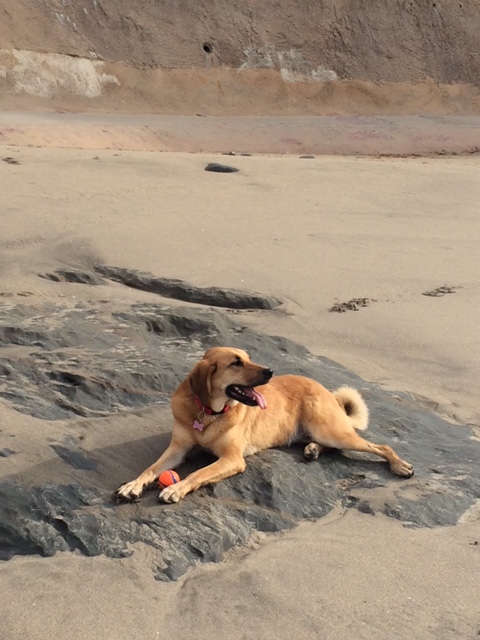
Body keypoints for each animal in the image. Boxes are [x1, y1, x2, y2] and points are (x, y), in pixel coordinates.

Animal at [114, 347, 413, 504]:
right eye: (236, 363)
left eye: (247, 357)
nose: (270, 372)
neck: (208, 411)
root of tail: (327, 391)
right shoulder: (177, 449)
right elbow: (151, 468)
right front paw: (133, 484)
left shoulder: (232, 459)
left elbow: (198, 473)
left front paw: (176, 488)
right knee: (331, 447)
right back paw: (312, 450)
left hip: (330, 430)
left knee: (380, 446)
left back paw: (400, 466)